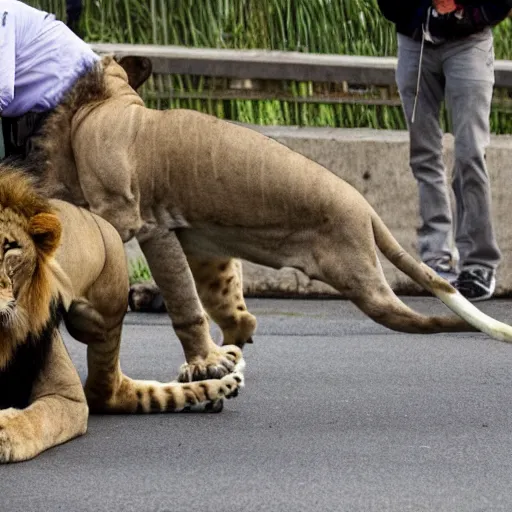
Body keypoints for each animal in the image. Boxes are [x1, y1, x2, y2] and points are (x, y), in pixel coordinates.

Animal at [31, 57, 512, 384]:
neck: (109, 101)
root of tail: (364, 205)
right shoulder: (181, 235)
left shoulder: (125, 214)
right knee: (243, 321)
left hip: (362, 281)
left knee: (426, 318)